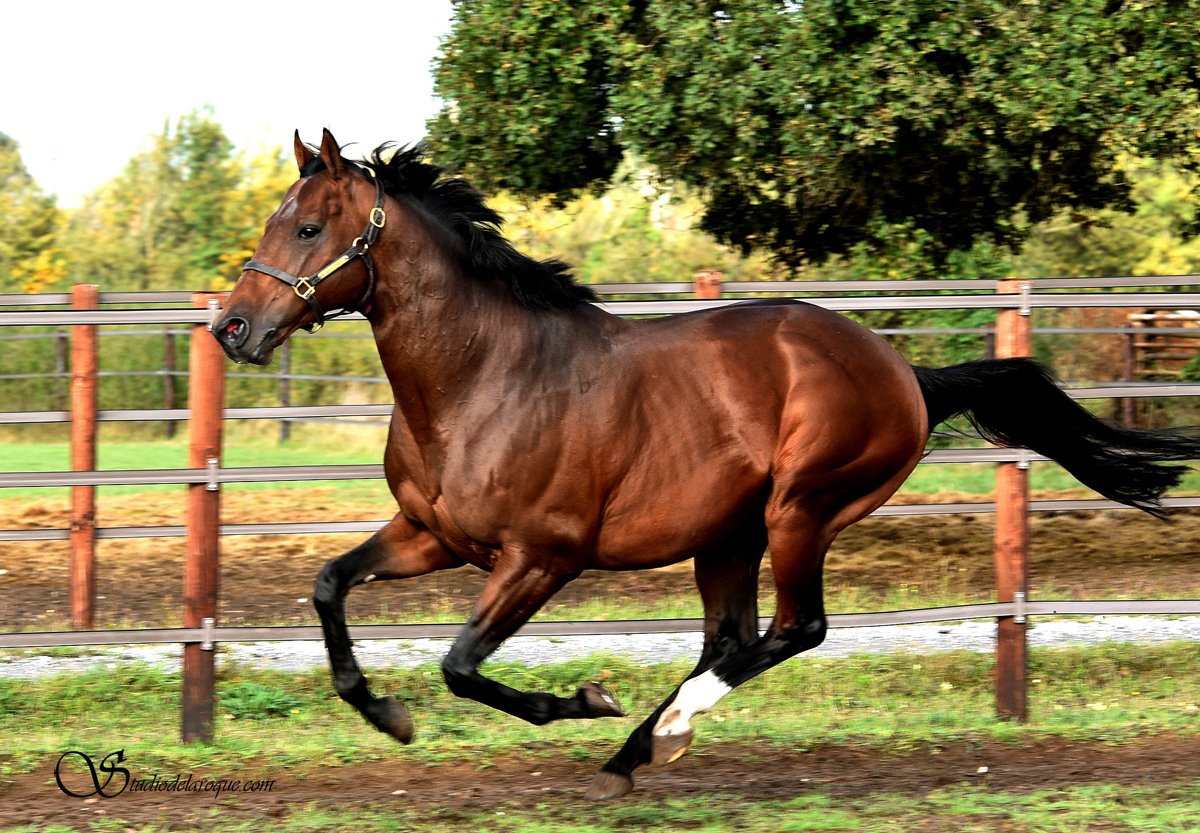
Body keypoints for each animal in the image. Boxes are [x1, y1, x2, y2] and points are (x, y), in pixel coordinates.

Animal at [214, 129, 1200, 799]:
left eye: (310, 227)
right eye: (275, 221)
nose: (232, 327)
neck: (484, 376)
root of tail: (904, 370)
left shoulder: (542, 556)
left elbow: (460, 663)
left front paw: (589, 697)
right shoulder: (432, 534)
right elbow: (330, 585)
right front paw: (385, 713)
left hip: (802, 510)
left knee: (795, 630)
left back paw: (656, 733)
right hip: (728, 533)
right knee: (732, 637)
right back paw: (640, 748)